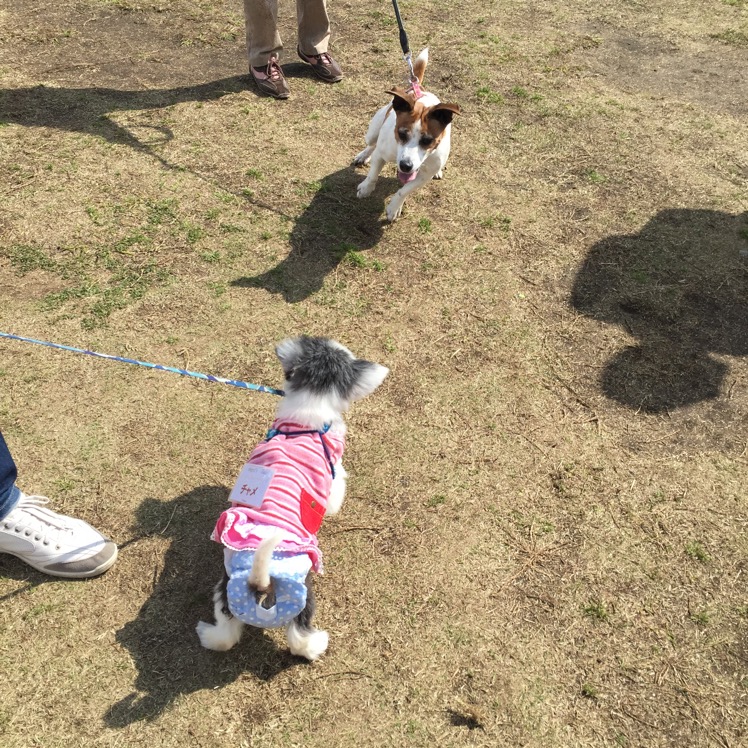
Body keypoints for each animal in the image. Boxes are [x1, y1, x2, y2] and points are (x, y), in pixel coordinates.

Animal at [196, 336, 388, 661]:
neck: (310, 408)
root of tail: (262, 580)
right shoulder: (333, 472)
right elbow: (336, 494)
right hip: (302, 593)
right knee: (300, 637)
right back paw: (318, 644)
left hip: (226, 588)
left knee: (227, 631)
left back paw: (208, 635)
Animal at [353, 48, 461, 222]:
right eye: (401, 134)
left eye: (428, 140)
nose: (405, 165)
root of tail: (418, 87)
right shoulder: (381, 155)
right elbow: (373, 175)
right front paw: (366, 188)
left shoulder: (424, 176)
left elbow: (405, 190)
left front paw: (394, 207)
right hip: (373, 131)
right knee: (371, 144)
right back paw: (363, 155)